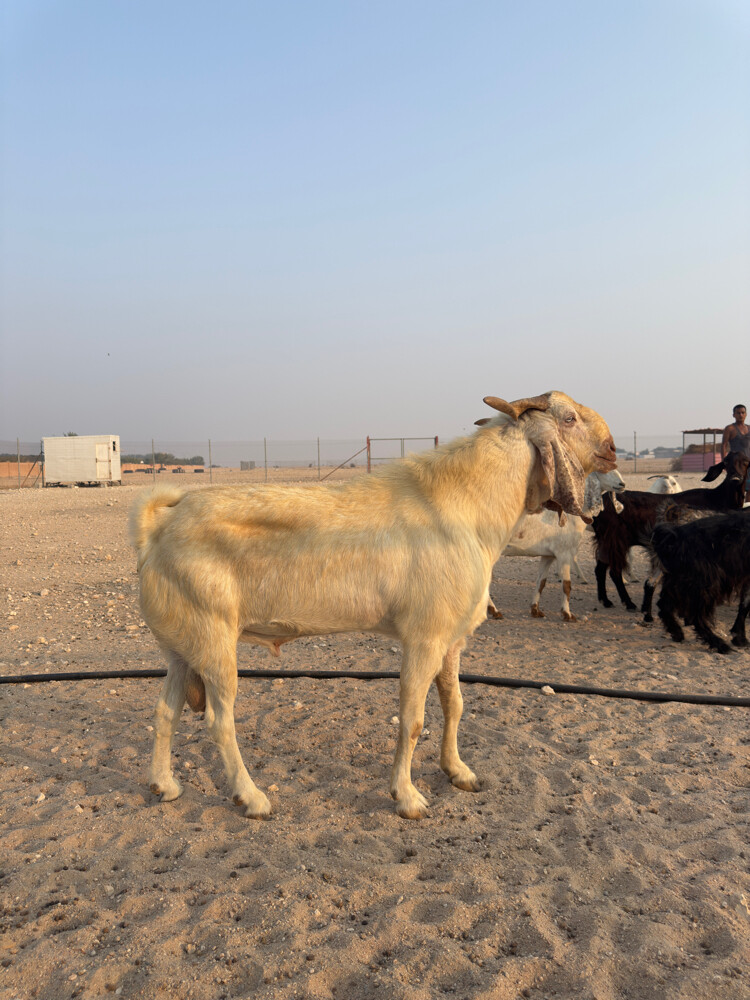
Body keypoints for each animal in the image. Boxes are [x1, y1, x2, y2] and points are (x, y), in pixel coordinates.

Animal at [491, 469, 625, 621]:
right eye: (603, 471)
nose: (622, 484)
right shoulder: (564, 554)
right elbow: (567, 585)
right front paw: (568, 614)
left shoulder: (548, 556)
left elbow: (541, 582)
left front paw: (535, 610)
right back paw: (494, 611)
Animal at [592, 449, 750, 612]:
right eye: (726, 463)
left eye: (746, 462)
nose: (735, 478)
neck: (717, 498)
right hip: (615, 540)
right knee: (614, 572)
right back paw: (629, 603)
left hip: (606, 541)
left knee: (600, 568)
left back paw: (606, 600)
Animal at [653, 510, 750, 653]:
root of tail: (675, 537)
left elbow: (745, 604)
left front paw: (739, 637)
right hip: (706, 582)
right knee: (695, 616)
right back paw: (719, 644)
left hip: (680, 581)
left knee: (664, 605)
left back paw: (677, 632)